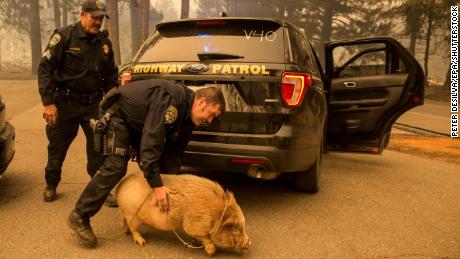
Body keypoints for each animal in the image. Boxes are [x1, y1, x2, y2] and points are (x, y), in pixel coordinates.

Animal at [115, 174, 252, 256]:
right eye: (236, 230)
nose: (249, 243)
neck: (214, 214)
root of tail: (119, 187)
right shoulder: (192, 226)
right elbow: (205, 239)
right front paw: (210, 253)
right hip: (132, 215)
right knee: (133, 228)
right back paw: (142, 242)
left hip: (127, 213)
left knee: (123, 220)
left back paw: (125, 232)